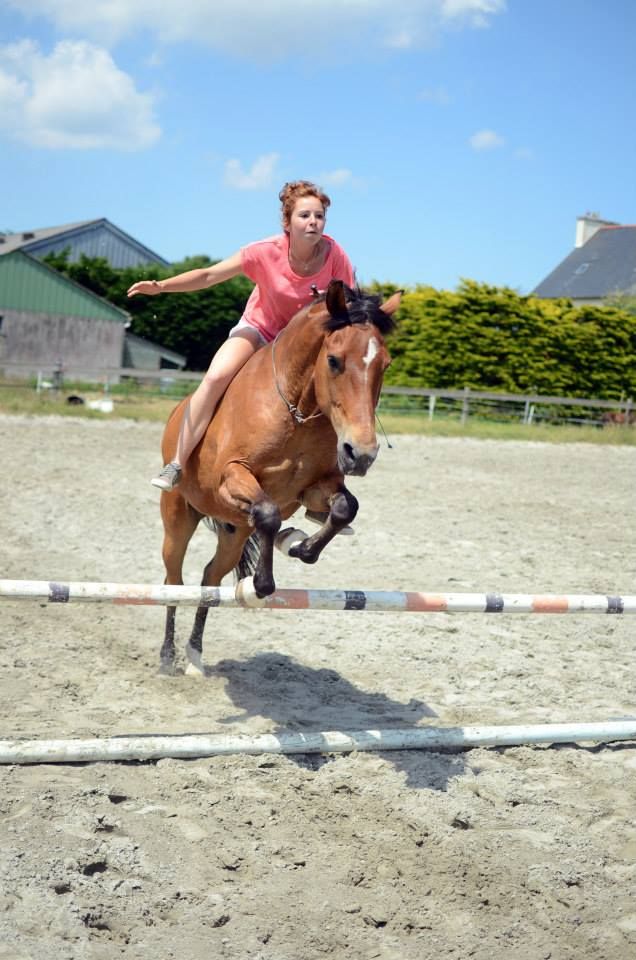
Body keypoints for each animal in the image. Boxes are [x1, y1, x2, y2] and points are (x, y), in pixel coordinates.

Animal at [157, 280, 400, 676]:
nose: (361, 454)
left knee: (210, 579)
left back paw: (194, 656)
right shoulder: (232, 477)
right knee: (173, 581)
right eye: (334, 360)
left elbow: (344, 508)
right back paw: (167, 657)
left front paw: (297, 544)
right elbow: (268, 515)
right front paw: (259, 584)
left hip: (233, 532)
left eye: (385, 364)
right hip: (178, 518)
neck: (296, 409)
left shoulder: (313, 488)